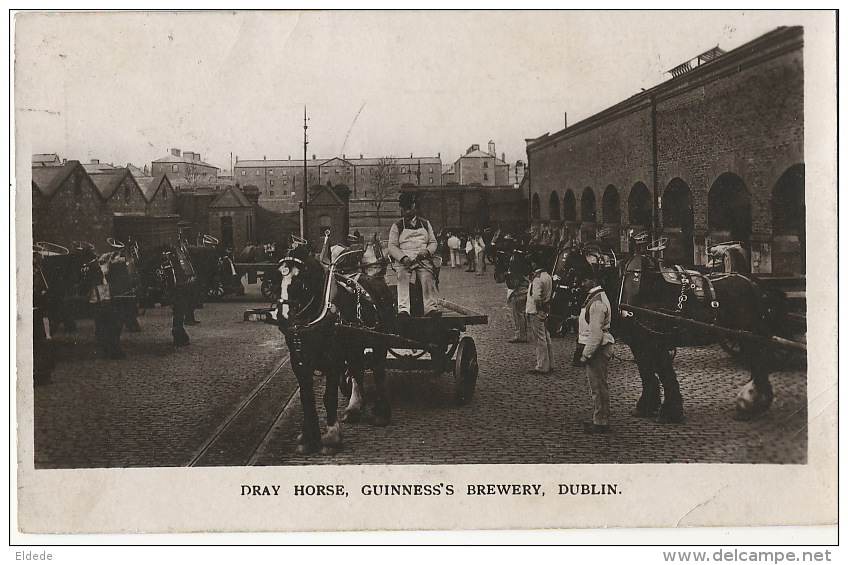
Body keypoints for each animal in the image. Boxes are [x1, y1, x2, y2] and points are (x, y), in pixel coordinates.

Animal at [276, 234, 396, 454]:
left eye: (301, 277)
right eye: (277, 276)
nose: (284, 317)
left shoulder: (333, 361)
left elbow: (328, 398)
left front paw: (331, 437)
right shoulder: (299, 363)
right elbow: (307, 398)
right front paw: (308, 437)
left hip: (380, 342)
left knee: (378, 371)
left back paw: (381, 412)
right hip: (355, 346)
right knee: (358, 370)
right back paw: (355, 408)